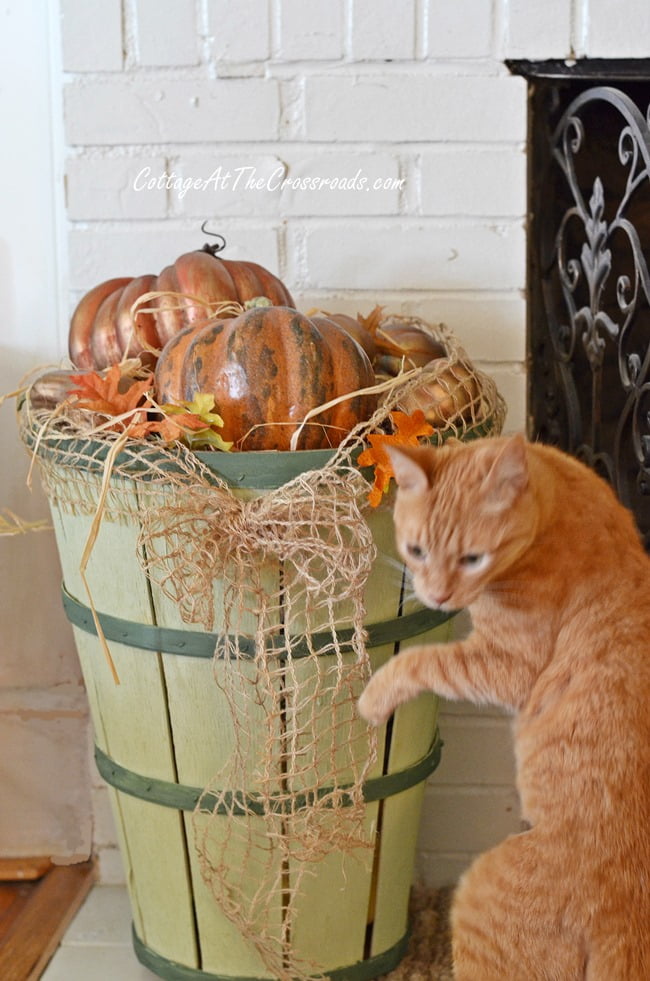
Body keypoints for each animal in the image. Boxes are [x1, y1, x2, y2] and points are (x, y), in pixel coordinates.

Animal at [356, 436, 644, 980]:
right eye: (417, 550)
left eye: (473, 558)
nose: (437, 595)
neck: (560, 496)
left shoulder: (506, 666)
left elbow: (422, 660)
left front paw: (373, 696)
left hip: (477, 897)